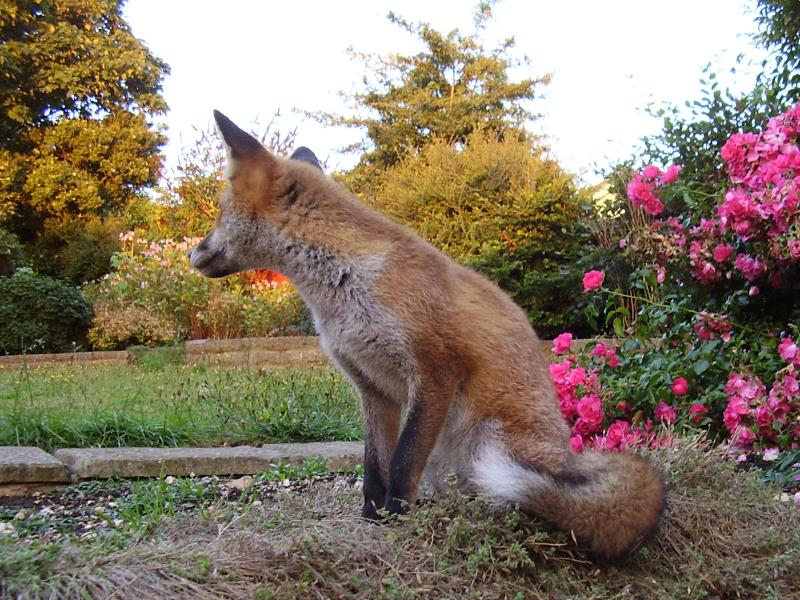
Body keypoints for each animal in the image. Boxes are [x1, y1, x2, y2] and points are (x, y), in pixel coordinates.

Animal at [191, 109, 664, 564]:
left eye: (217, 212)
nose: (192, 252)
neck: (347, 288)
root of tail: (565, 457)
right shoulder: (372, 387)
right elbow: (374, 468)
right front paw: (372, 519)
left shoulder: (435, 371)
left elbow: (402, 461)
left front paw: (397, 517)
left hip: (487, 441)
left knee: (523, 493)